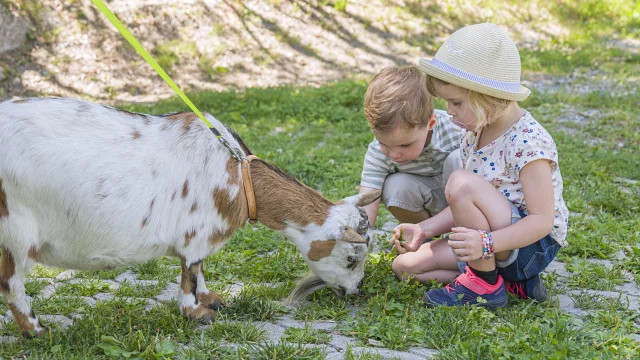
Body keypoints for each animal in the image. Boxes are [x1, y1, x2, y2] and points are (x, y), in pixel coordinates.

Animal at [0, 97, 380, 336]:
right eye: (351, 258)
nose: (357, 289)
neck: (238, 175)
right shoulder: (196, 233)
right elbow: (190, 272)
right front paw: (195, 312)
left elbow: (199, 272)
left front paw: (210, 298)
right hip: (17, 229)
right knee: (12, 282)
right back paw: (36, 330)